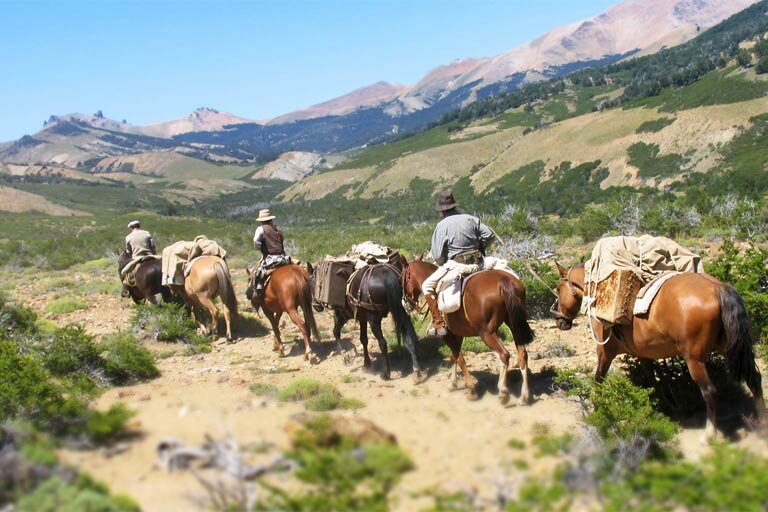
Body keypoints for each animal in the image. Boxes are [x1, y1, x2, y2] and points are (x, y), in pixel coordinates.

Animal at [402, 259, 535, 404]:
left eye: (403, 277)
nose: (405, 303)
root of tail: (504, 281)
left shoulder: (448, 336)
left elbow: (459, 358)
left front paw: (471, 390)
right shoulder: (457, 335)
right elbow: (454, 357)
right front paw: (453, 384)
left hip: (486, 333)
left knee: (503, 355)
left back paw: (503, 393)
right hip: (514, 326)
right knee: (522, 355)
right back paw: (524, 396)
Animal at [552, 261, 765, 441]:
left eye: (558, 288)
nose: (560, 321)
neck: (598, 292)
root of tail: (717, 287)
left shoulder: (605, 352)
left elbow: (598, 380)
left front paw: (597, 411)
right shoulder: (643, 355)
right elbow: (652, 383)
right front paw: (658, 409)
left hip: (694, 359)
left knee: (710, 391)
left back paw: (709, 434)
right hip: (729, 348)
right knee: (754, 379)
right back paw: (762, 424)